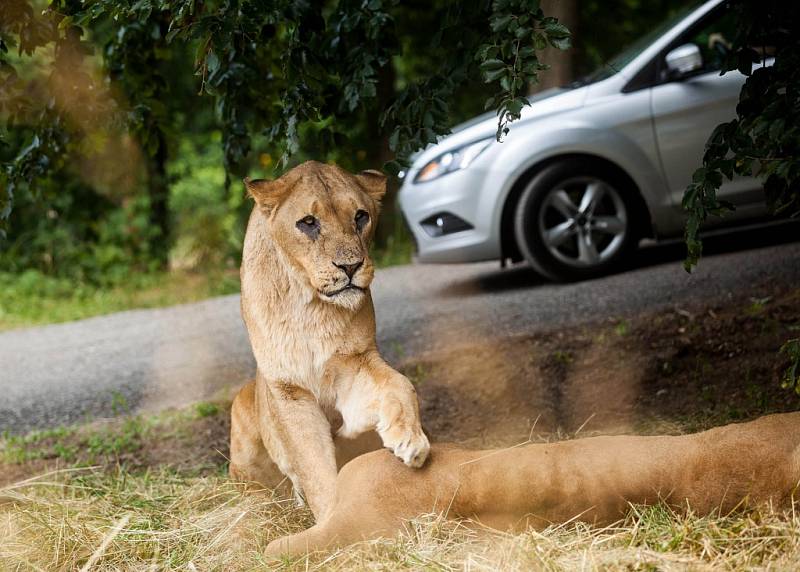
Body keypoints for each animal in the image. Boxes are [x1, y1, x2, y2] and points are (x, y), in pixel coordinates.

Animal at [231, 160, 432, 520]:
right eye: (309, 222)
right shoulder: (288, 389)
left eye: (360, 216)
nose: (350, 266)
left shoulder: (355, 362)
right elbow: (313, 464)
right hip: (243, 408)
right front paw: (331, 519)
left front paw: (410, 440)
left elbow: (399, 383)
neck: (312, 305)